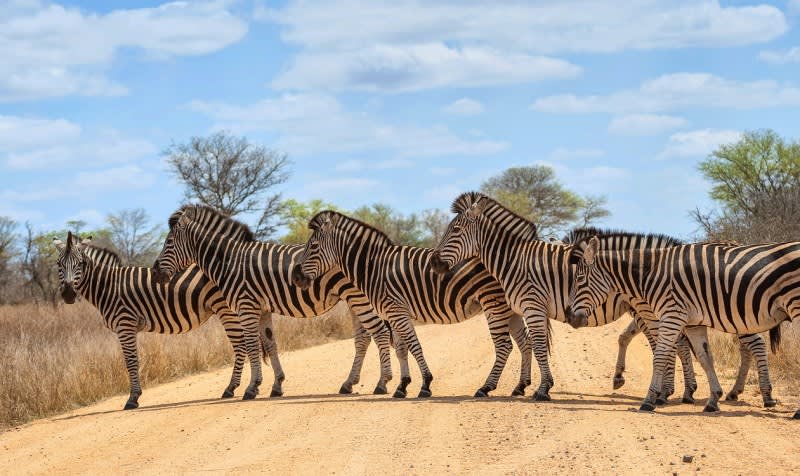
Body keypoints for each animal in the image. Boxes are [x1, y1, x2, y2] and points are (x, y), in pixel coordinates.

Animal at [54, 231, 255, 410]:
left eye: (80, 263)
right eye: (58, 264)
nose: (68, 294)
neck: (108, 286)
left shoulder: (125, 324)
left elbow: (131, 361)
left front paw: (133, 398)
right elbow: (133, 360)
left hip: (227, 309)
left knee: (241, 345)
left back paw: (231, 388)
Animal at [152, 204, 396, 398]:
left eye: (169, 242)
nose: (155, 273)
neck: (230, 260)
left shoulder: (246, 306)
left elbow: (251, 345)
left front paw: (251, 388)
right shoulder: (262, 309)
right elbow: (270, 344)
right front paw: (276, 385)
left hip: (358, 297)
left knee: (380, 332)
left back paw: (382, 383)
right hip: (353, 299)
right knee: (363, 338)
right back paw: (349, 383)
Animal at [288, 210, 532, 400]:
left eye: (314, 246)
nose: (296, 277)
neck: (373, 268)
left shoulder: (397, 310)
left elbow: (414, 346)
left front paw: (425, 384)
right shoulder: (393, 313)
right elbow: (402, 348)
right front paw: (402, 385)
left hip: (493, 303)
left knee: (504, 345)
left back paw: (486, 388)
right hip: (508, 308)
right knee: (525, 342)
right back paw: (520, 387)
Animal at [564, 234, 796, 416]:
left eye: (580, 280)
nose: (570, 317)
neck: (648, 275)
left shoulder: (667, 315)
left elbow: (661, 354)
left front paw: (654, 397)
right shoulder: (688, 322)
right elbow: (702, 357)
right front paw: (709, 398)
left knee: (756, 345)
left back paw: (770, 398)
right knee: (748, 347)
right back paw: (736, 392)